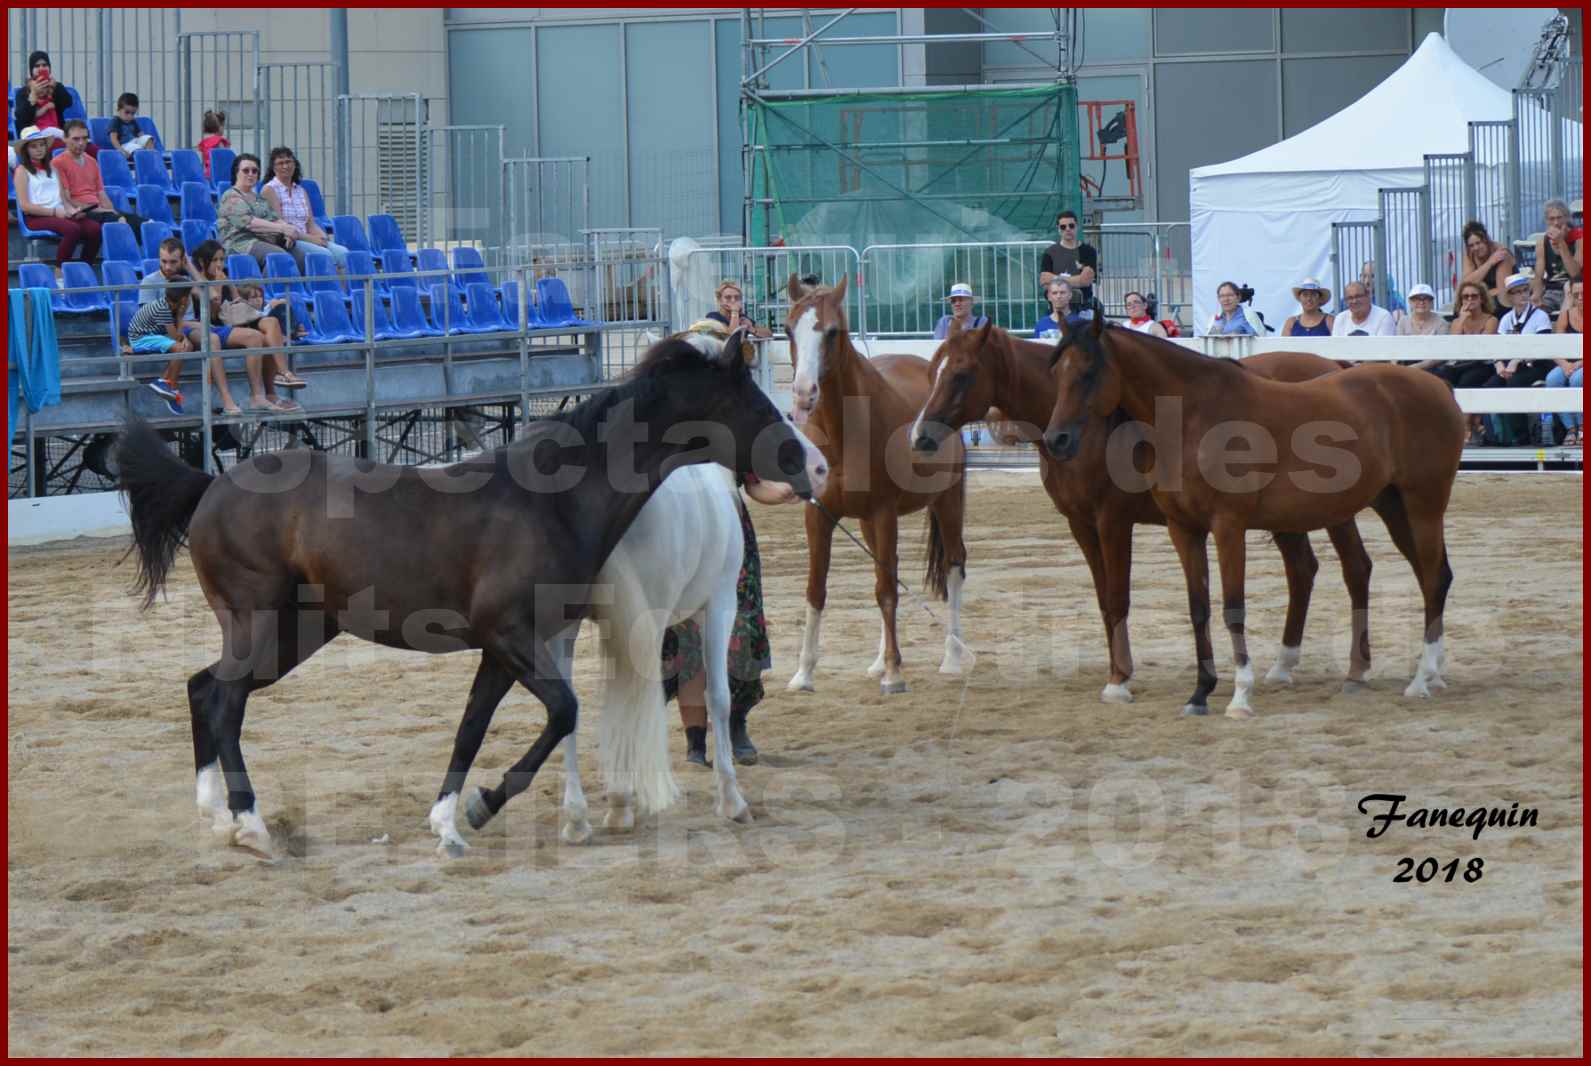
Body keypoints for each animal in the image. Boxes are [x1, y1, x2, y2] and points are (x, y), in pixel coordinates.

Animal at [116, 334, 827, 859]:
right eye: (759, 405)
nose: (813, 467)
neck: (554, 501)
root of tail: (211, 486)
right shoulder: (510, 636)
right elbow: (564, 711)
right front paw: (485, 806)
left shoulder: (504, 650)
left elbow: (471, 727)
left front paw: (449, 824)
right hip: (260, 621)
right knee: (225, 700)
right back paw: (252, 826)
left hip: (298, 632)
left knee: (203, 687)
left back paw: (215, 814)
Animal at [785, 272, 967, 696]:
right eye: (787, 329)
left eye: (832, 332)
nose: (803, 394)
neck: (843, 433)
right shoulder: (819, 517)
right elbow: (816, 590)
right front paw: (803, 674)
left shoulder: (884, 513)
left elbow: (886, 591)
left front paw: (894, 675)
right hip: (870, 522)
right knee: (890, 569)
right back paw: (878, 660)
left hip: (947, 501)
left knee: (953, 566)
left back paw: (951, 658)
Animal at [916, 326, 1374, 709]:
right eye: (933, 372)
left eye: (961, 374)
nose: (920, 436)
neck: (1092, 426)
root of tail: (1336, 368)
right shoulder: (1081, 525)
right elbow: (1105, 600)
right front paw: (1119, 671)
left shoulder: (1113, 520)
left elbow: (1119, 597)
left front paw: (1120, 680)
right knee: (1302, 570)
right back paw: (1283, 665)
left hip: (1329, 511)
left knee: (1353, 567)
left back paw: (1352, 670)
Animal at [1043, 315, 1463, 719]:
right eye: (1056, 373)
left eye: (1088, 372)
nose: (1056, 440)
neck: (1194, 417)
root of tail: (1438, 387)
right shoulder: (1184, 529)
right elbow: (1198, 608)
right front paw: (1200, 694)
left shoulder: (1228, 526)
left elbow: (1233, 608)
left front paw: (1240, 697)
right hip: (1393, 506)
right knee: (1432, 577)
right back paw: (1429, 674)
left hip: (1424, 505)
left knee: (1430, 578)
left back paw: (1420, 680)